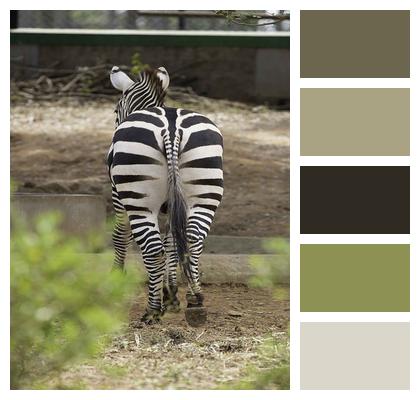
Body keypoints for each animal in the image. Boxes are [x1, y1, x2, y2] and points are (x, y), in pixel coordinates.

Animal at [109, 65, 223, 326]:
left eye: (115, 111)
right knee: (192, 239)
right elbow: (172, 242)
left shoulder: (118, 197)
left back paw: (152, 310)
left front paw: (116, 278)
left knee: (152, 248)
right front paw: (171, 293)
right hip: (205, 193)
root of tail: (172, 128)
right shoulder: (173, 205)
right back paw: (195, 300)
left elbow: (120, 236)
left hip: (138, 200)